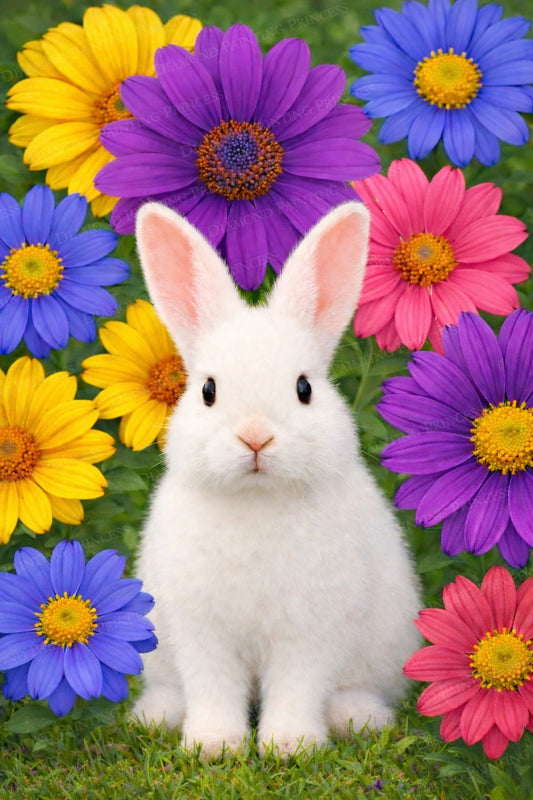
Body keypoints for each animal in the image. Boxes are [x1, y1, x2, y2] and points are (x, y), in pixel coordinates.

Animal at [132, 200, 421, 759]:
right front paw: (214, 746)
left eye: (304, 388)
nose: (255, 438)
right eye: (208, 390)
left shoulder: (311, 631)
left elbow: (296, 687)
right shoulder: (201, 631)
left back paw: (356, 717)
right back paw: (156, 715)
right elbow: (213, 688)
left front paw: (291, 746)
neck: (257, 500)